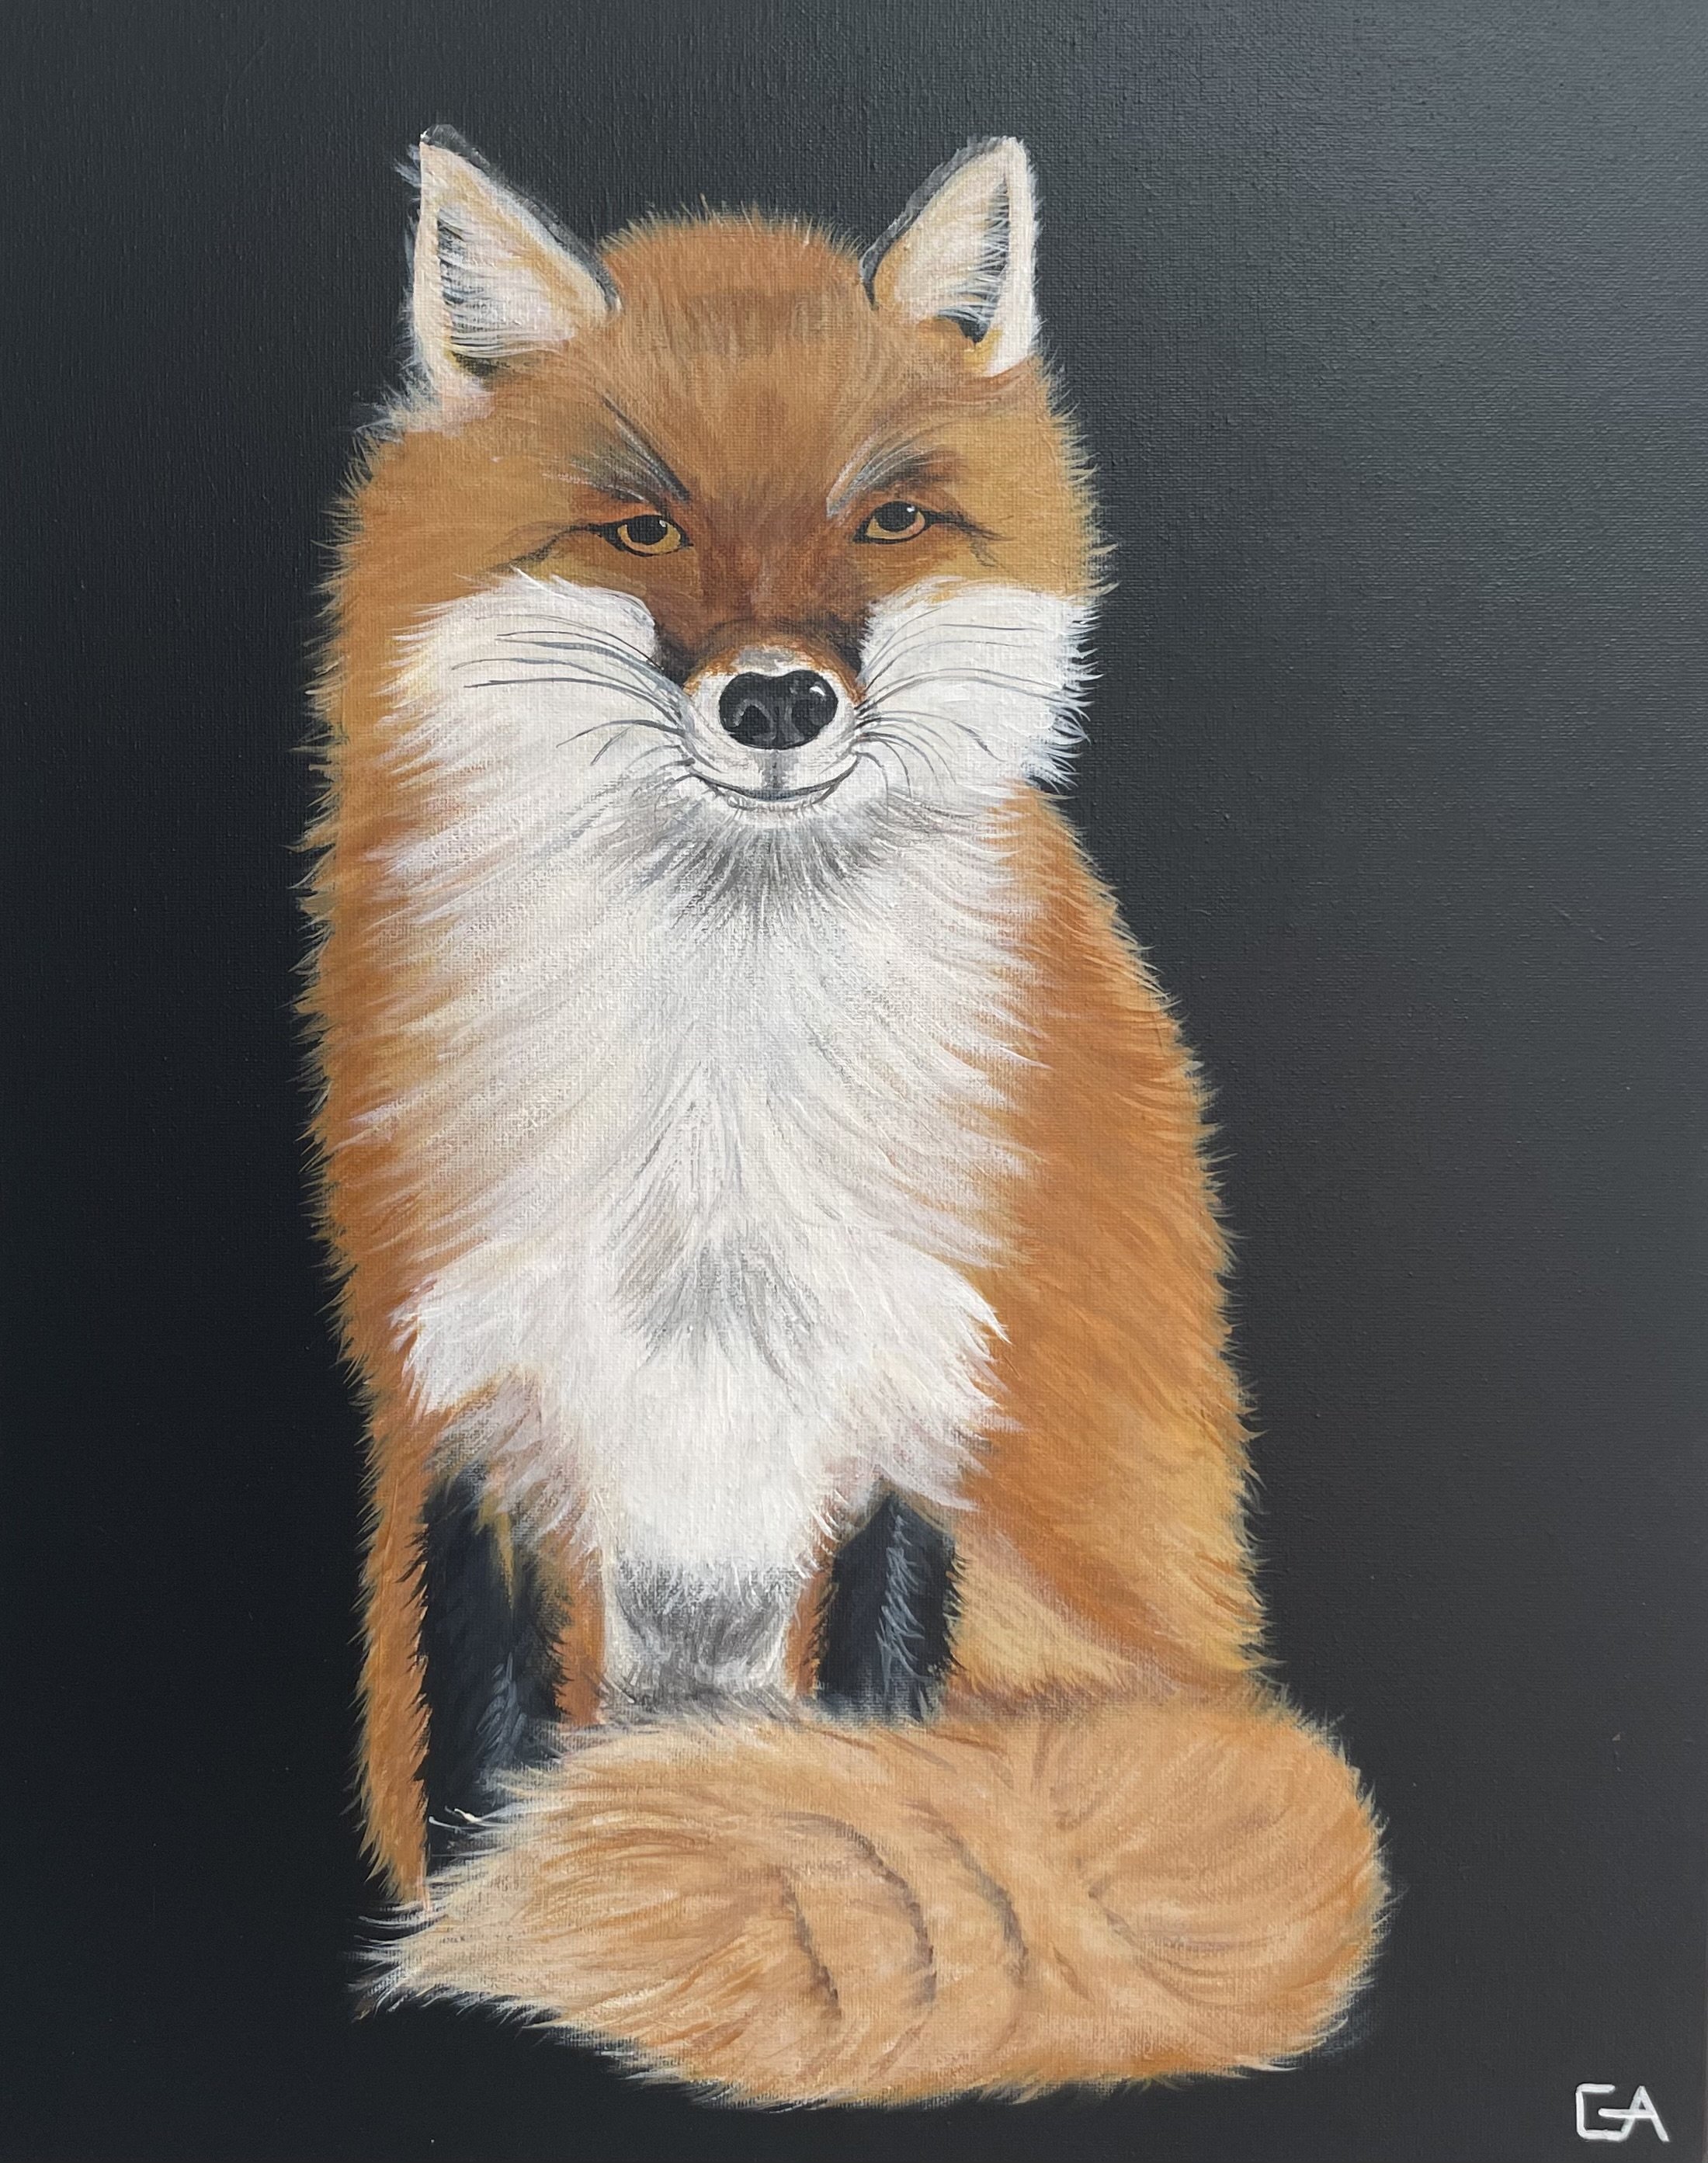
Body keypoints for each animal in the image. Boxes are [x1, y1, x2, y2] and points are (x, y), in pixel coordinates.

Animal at [306, 127, 1384, 2103]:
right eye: (640, 526)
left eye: (885, 519)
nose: (778, 701)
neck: (710, 1116)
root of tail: (1217, 1688)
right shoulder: (476, 1377)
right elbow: (484, 1740)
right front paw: (475, 1912)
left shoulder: (916, 1372)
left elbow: (866, 1717)